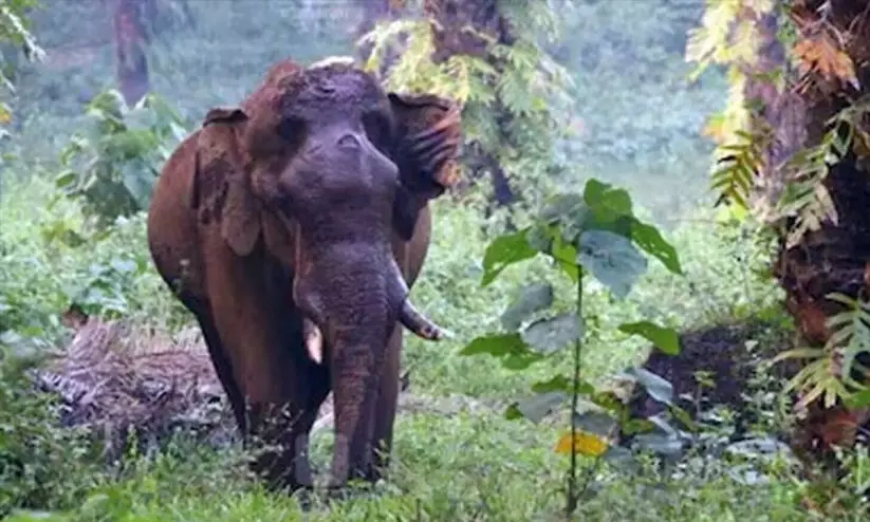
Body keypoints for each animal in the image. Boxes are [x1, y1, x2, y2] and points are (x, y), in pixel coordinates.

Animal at [145, 54, 464, 490]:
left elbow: (385, 344)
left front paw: (363, 489)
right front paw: (281, 491)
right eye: (283, 204)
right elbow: (260, 344)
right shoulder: (228, 238)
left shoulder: (397, 240)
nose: (334, 489)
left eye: (394, 188)